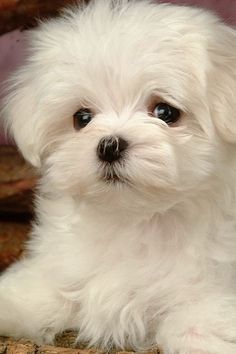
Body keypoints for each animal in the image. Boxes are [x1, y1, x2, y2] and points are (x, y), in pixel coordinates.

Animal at [0, 0, 236, 352]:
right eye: (82, 118)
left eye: (165, 112)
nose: (109, 146)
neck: (137, 221)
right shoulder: (61, 267)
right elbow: (37, 294)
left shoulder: (215, 280)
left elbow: (190, 322)